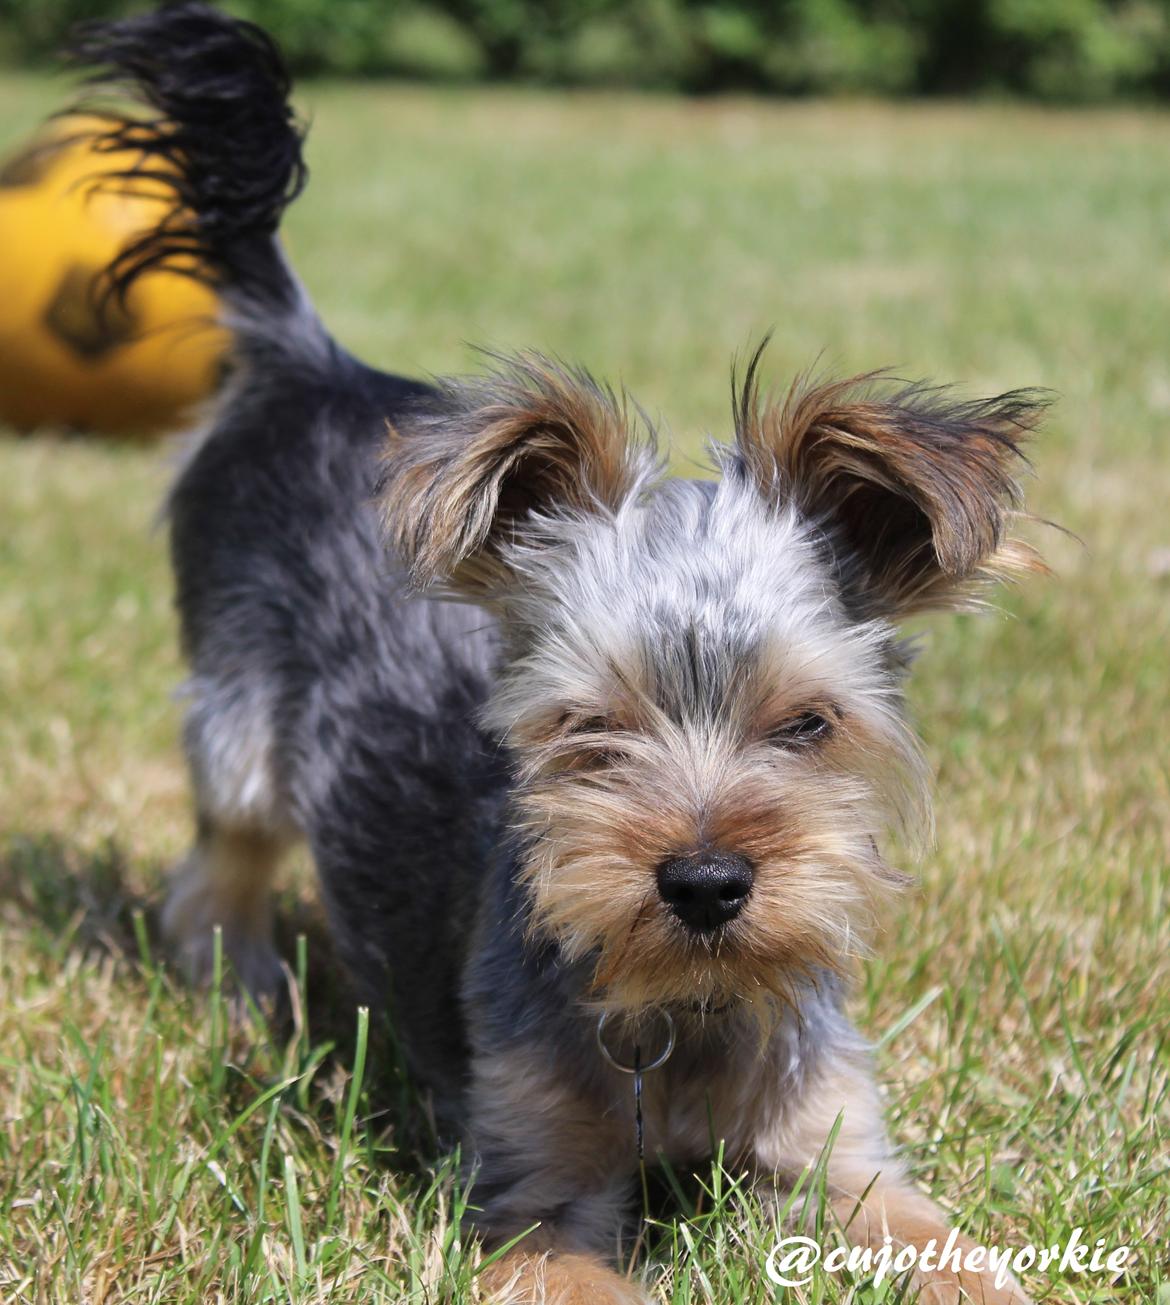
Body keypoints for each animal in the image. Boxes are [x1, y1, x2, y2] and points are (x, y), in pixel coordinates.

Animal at [68, 5, 1043, 1299]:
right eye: (589, 729)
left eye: (808, 725)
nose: (706, 883)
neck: (683, 1010)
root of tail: (313, 362)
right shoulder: (529, 1194)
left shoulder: (838, 1148)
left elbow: (951, 1249)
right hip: (236, 720)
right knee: (219, 860)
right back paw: (242, 991)